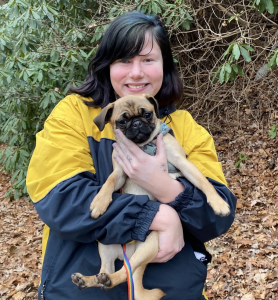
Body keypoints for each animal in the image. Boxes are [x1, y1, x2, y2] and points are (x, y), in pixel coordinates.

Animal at [71, 93, 230, 298]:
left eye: (147, 114)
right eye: (122, 121)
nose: (137, 123)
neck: (144, 146)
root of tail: (129, 252)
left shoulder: (181, 163)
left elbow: (203, 181)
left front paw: (219, 203)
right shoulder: (120, 172)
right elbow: (109, 182)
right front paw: (99, 203)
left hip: (149, 244)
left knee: (124, 273)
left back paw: (105, 280)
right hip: (105, 244)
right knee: (108, 271)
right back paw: (87, 280)